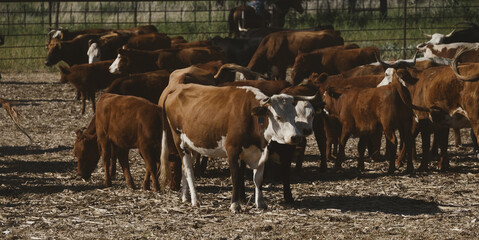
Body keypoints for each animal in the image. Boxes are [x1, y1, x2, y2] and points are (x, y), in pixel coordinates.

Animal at [160, 82, 316, 212]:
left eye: (294, 115)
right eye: (278, 117)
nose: (296, 137)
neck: (251, 118)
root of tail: (178, 88)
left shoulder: (261, 152)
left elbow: (258, 179)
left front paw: (261, 203)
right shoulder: (232, 151)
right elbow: (235, 177)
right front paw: (235, 205)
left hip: (191, 145)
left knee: (184, 167)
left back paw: (185, 196)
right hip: (179, 141)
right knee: (188, 169)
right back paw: (195, 199)